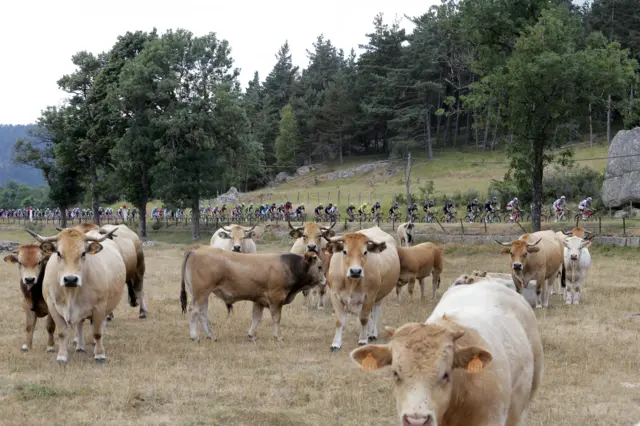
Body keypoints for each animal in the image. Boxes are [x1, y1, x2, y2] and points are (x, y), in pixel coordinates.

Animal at [24, 228, 126, 364]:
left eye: (83, 253)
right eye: (58, 253)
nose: (70, 279)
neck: (70, 293)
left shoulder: (99, 307)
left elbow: (97, 332)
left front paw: (100, 354)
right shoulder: (53, 307)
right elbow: (62, 333)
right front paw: (61, 356)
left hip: (107, 306)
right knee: (80, 324)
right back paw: (80, 346)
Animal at [180, 245, 328, 342]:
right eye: (320, 267)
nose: (325, 280)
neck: (289, 266)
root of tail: (196, 249)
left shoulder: (259, 300)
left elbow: (256, 318)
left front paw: (251, 335)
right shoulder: (276, 298)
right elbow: (276, 318)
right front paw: (278, 336)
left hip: (203, 295)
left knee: (202, 314)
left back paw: (211, 335)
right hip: (201, 294)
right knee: (194, 311)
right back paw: (194, 336)